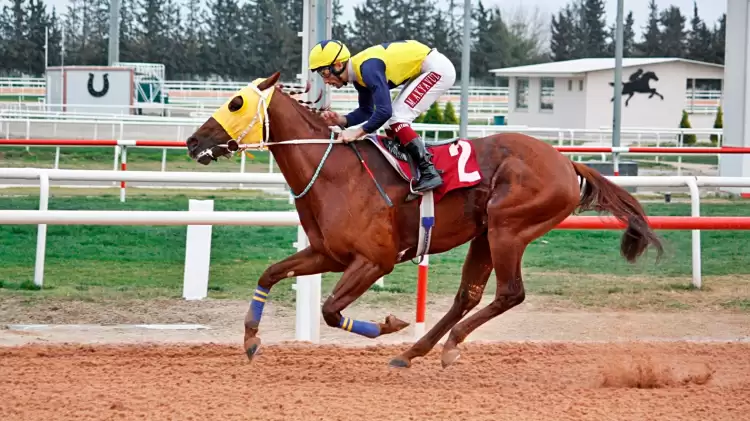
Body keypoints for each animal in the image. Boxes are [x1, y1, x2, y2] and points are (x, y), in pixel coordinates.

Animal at [187, 72, 664, 368]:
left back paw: (447, 346)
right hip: (486, 234)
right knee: (468, 296)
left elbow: (329, 310)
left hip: (509, 228)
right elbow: (270, 274)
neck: (334, 172)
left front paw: (388, 324)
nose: (192, 142)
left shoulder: (373, 261)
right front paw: (250, 340)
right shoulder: (328, 254)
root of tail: (567, 163)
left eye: (235, 102)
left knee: (510, 293)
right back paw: (416, 350)